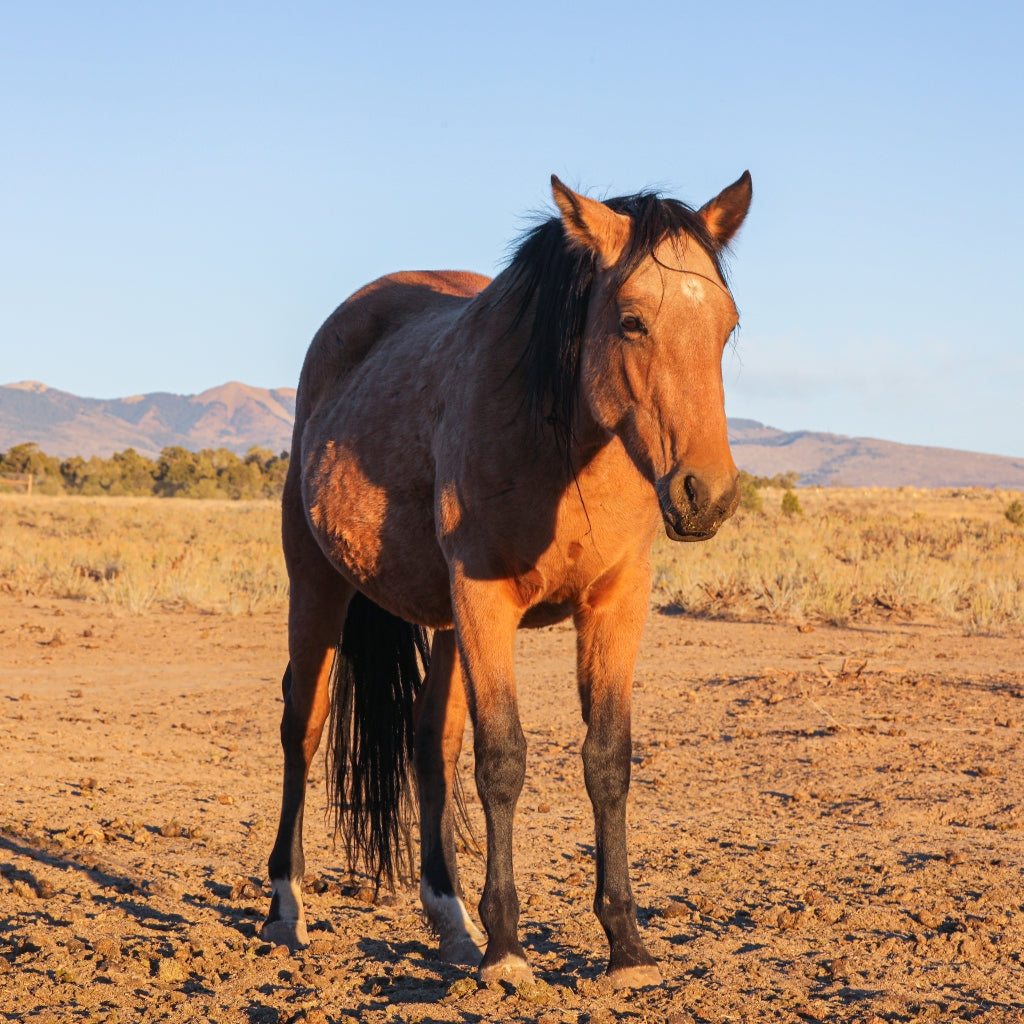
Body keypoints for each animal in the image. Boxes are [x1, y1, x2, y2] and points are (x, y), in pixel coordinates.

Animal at [264, 172, 753, 987]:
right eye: (631, 322)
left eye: (727, 324)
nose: (706, 494)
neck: (562, 448)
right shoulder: (485, 600)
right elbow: (503, 759)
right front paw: (509, 951)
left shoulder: (615, 604)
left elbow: (606, 760)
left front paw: (627, 946)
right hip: (320, 588)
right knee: (303, 727)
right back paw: (285, 908)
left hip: (443, 623)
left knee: (431, 746)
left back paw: (450, 918)